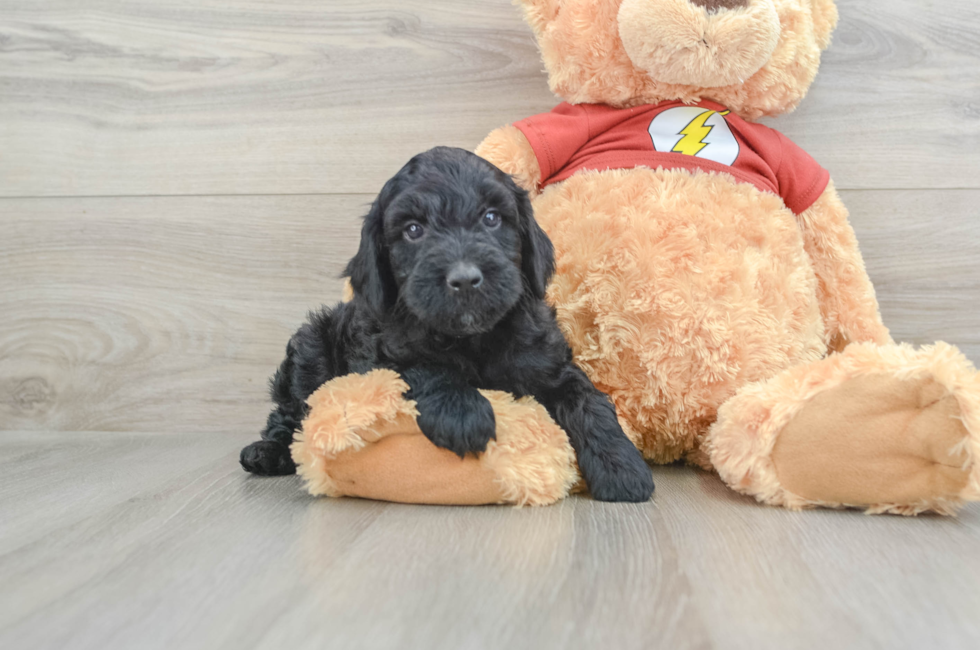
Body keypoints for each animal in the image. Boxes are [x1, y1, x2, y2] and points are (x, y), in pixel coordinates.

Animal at [241, 148, 656, 502]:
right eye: (413, 229)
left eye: (491, 217)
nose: (465, 279)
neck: (472, 338)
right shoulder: (381, 352)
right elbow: (425, 368)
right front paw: (463, 414)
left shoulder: (547, 360)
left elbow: (587, 399)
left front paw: (623, 467)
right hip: (311, 345)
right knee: (290, 413)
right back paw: (265, 451)